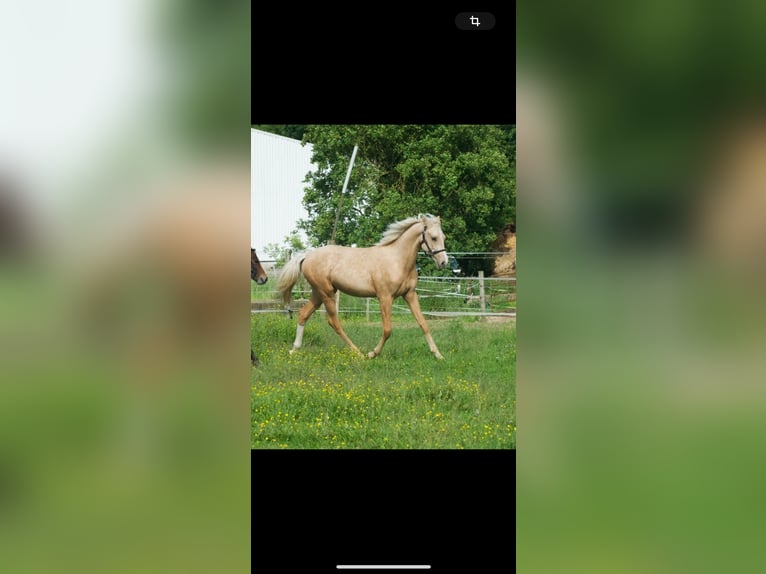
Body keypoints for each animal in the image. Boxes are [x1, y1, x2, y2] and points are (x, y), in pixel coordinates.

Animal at [280, 216, 450, 360]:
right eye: (433, 238)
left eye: (444, 237)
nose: (443, 262)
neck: (397, 260)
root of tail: (307, 256)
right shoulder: (385, 297)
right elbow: (387, 330)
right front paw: (372, 353)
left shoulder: (410, 295)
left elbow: (423, 324)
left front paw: (438, 355)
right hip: (326, 293)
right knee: (334, 322)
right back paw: (358, 353)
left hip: (318, 293)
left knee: (303, 314)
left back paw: (294, 349)